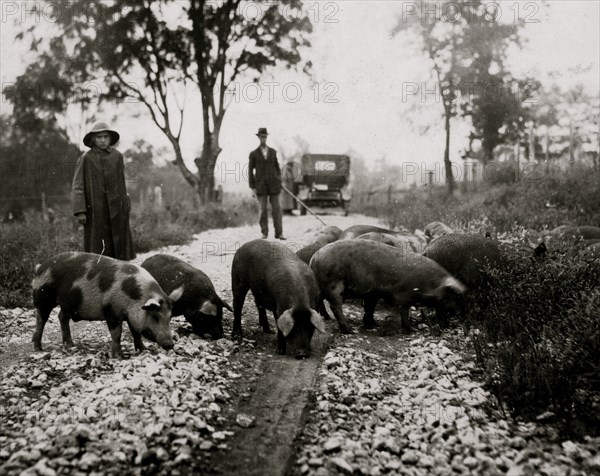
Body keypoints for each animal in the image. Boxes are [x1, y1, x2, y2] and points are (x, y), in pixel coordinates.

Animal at [31, 253, 182, 356]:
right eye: (155, 316)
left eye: (169, 317)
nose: (169, 344)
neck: (135, 297)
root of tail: (39, 268)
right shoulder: (111, 311)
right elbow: (116, 334)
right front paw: (119, 357)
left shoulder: (131, 317)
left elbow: (136, 334)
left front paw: (144, 350)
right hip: (43, 298)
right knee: (41, 319)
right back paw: (38, 349)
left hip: (68, 304)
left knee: (62, 317)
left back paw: (71, 345)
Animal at [310, 240, 464, 332]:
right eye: (456, 296)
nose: (458, 313)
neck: (429, 283)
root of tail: (314, 258)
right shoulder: (403, 294)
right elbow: (404, 311)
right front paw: (412, 330)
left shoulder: (373, 293)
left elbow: (370, 308)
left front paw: (373, 325)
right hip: (334, 284)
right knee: (335, 306)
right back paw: (349, 330)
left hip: (323, 288)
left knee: (320, 303)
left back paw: (327, 319)